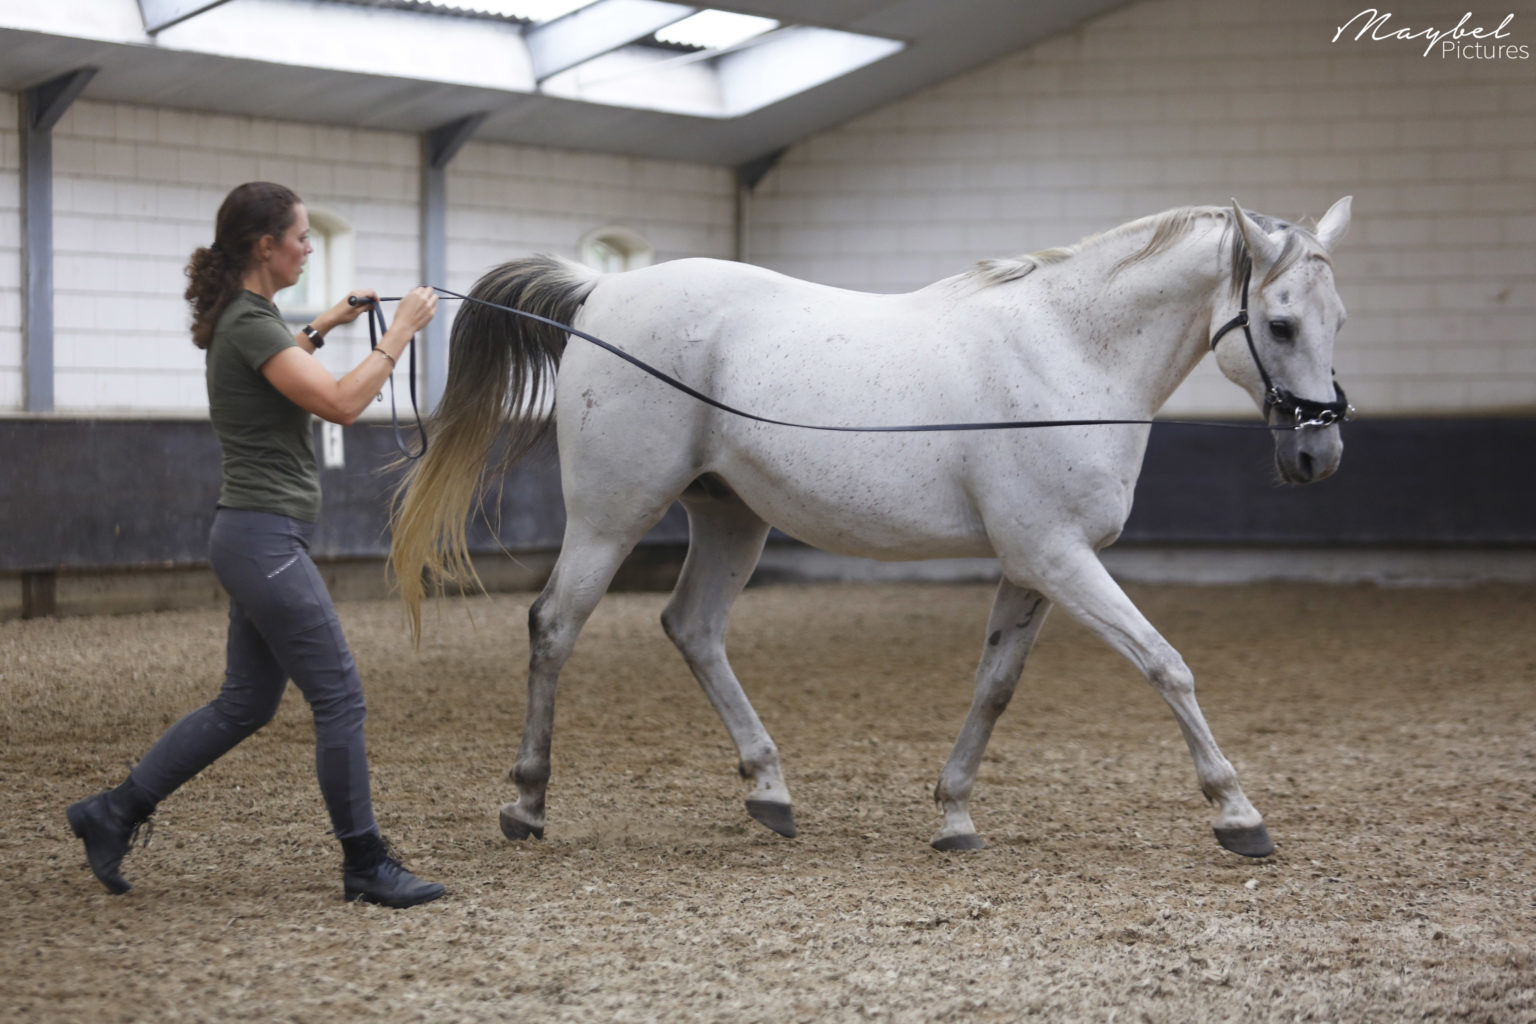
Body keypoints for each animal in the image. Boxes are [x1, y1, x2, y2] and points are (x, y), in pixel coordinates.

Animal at [390, 198, 1351, 859]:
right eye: (1279, 323)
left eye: (1338, 321)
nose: (1319, 452)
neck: (1070, 352)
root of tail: (603, 288)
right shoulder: (1056, 556)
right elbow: (1165, 663)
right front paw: (1238, 813)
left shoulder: (1033, 565)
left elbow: (994, 687)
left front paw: (954, 813)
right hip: (611, 513)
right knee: (554, 625)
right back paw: (526, 803)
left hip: (730, 518)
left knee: (692, 628)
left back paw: (770, 793)